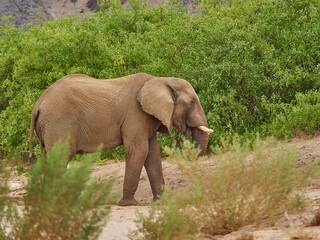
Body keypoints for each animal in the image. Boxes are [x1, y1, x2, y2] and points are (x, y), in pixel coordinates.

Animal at [28, 72, 212, 205]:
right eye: (192, 102)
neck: (159, 80)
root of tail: (38, 103)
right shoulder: (135, 114)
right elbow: (139, 150)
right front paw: (129, 204)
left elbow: (153, 154)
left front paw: (161, 202)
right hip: (59, 123)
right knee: (60, 158)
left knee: (48, 158)